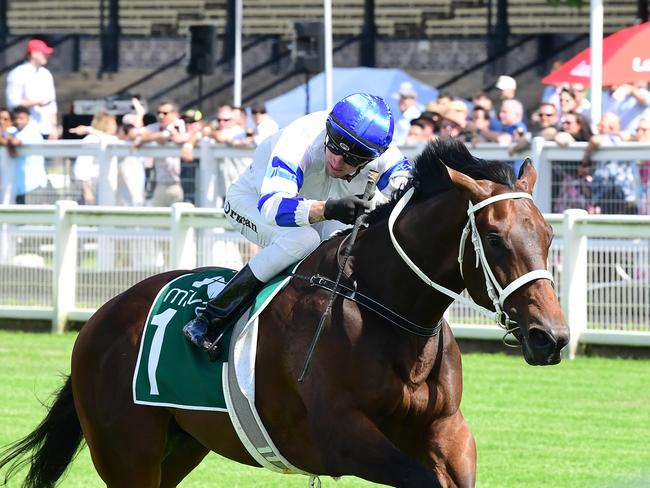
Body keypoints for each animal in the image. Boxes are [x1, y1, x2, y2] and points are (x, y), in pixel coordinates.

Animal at [0, 138, 568, 488]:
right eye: (494, 238)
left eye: (547, 234)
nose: (552, 337)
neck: (386, 313)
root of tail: (102, 317)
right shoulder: (343, 436)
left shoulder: (447, 431)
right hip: (126, 452)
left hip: (180, 446)